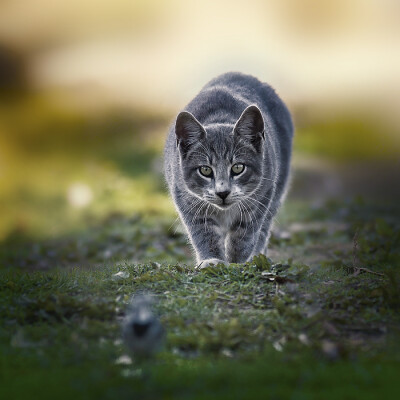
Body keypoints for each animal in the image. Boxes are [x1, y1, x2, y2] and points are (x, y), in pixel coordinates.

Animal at [163, 72, 294, 268]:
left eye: (238, 167)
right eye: (205, 170)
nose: (223, 192)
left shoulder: (261, 197)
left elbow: (245, 235)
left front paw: (236, 263)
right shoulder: (187, 200)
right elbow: (204, 234)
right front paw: (212, 260)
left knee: (264, 228)